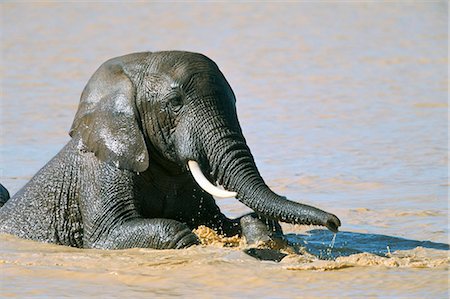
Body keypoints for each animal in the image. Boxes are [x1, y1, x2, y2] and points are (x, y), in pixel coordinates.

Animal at [0, 51, 340, 251]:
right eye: (175, 104)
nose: (335, 222)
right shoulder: (100, 171)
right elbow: (106, 236)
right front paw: (190, 240)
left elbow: (218, 220)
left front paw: (258, 229)